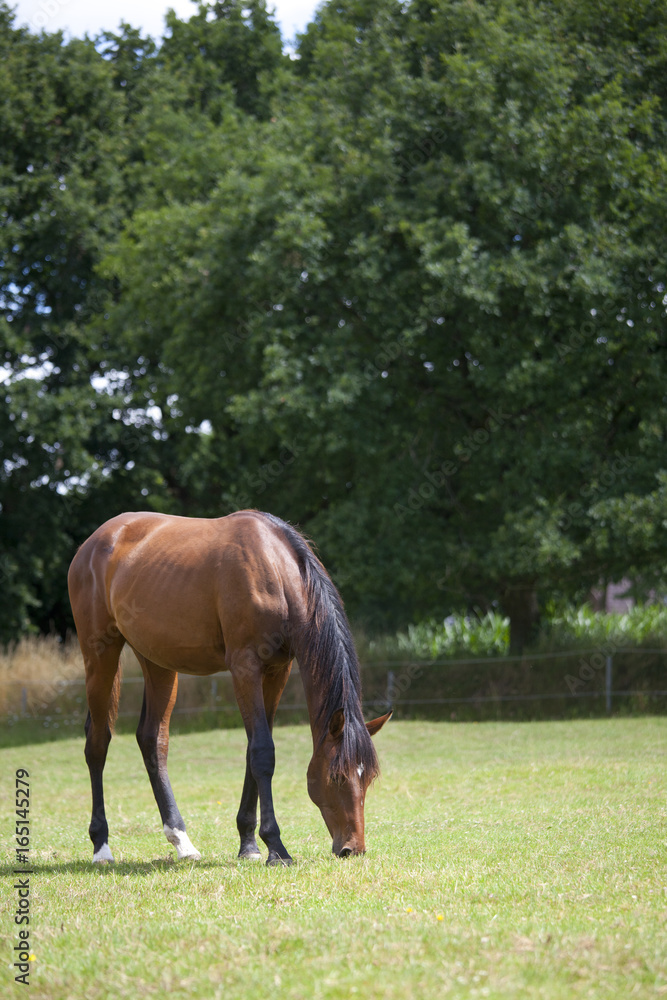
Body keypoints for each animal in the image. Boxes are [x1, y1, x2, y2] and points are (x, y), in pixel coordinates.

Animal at [68, 512, 392, 864]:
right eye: (336, 777)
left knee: (153, 740)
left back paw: (182, 841)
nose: (352, 848)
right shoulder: (245, 667)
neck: (274, 570)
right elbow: (263, 751)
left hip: (158, 662)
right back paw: (101, 846)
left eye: (368, 777)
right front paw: (276, 847)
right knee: (97, 743)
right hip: (99, 655)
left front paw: (249, 844)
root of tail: (94, 542)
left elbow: (255, 750)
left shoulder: (277, 670)